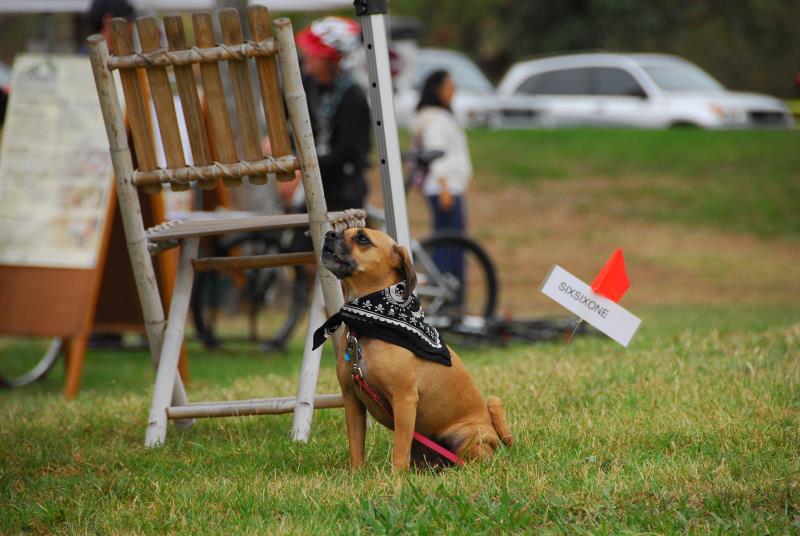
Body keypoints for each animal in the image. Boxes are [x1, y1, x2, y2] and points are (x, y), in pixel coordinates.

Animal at [320, 226, 512, 468]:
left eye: (362, 238)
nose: (328, 234)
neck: (366, 327)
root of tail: (495, 436)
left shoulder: (404, 401)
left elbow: (399, 451)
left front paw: (396, 476)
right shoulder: (352, 400)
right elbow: (356, 446)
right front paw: (357, 473)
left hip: (464, 437)